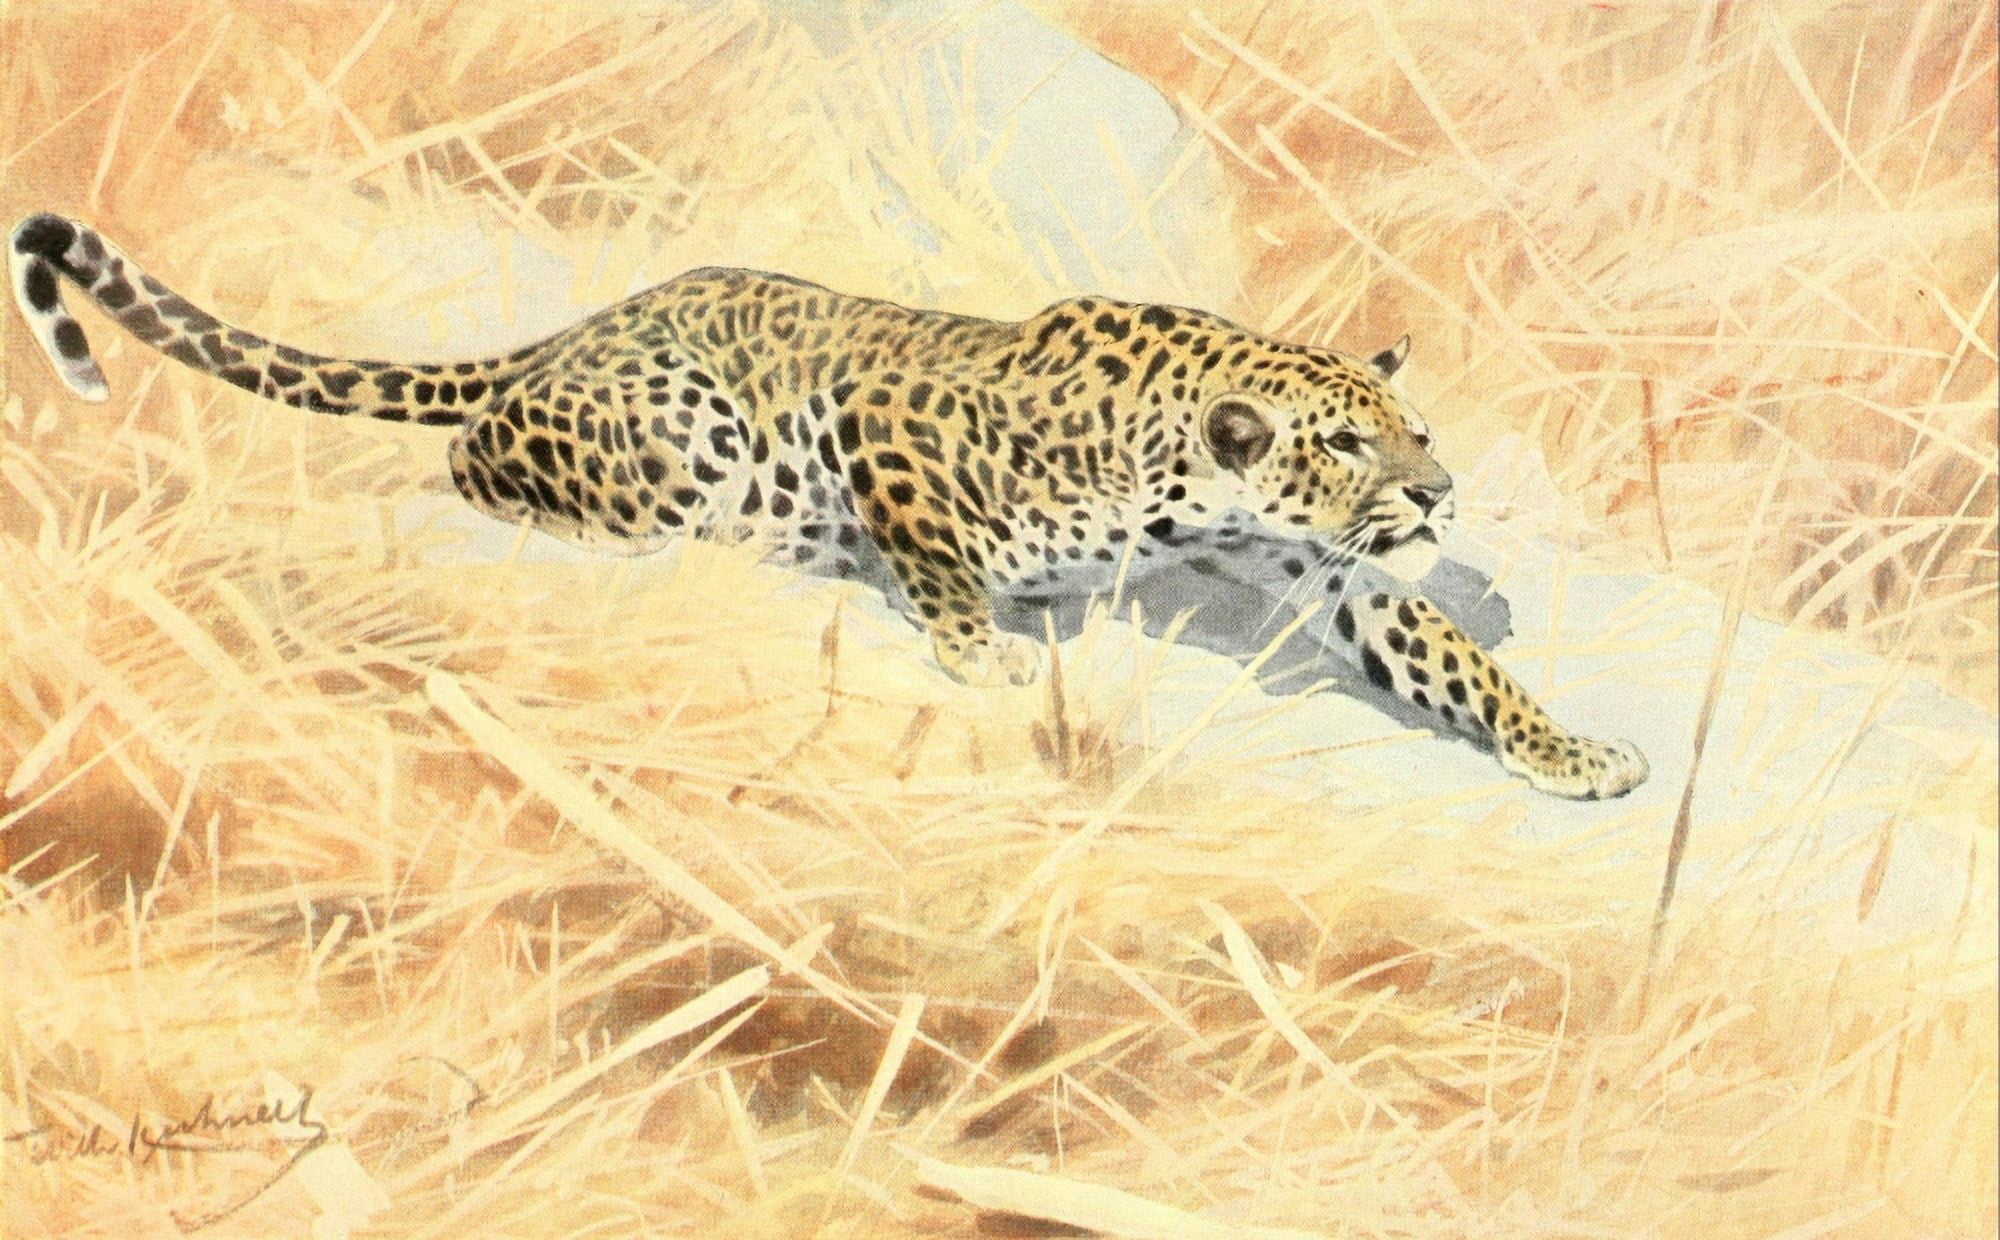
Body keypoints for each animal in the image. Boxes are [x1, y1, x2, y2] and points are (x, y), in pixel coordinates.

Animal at [10, 211, 1647, 800]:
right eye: (1347, 446)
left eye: (1412, 431)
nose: (1440, 492)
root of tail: (580, 326)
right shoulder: (891, 428)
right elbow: (939, 561)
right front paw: (981, 650)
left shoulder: (1339, 579)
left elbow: (1457, 662)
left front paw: (1573, 750)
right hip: (684, 437)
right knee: (475, 465)